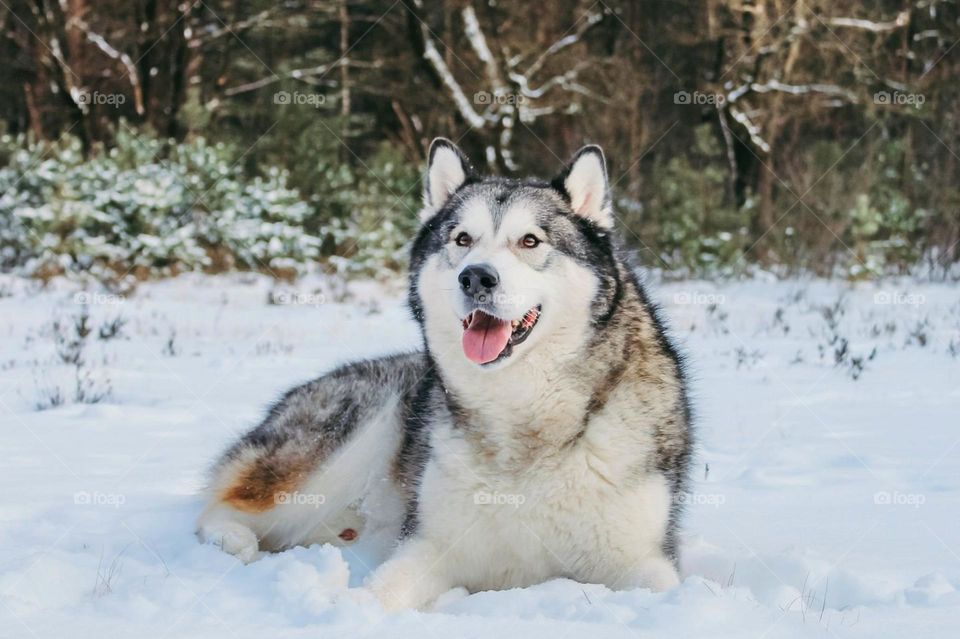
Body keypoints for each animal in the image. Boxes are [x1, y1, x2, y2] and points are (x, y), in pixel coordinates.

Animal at [195, 139, 688, 608]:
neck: (521, 410)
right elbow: (379, 593)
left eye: (530, 241)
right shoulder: (429, 545)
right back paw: (233, 539)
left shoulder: (642, 561)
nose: (476, 278)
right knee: (219, 507)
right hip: (349, 442)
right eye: (462, 239)